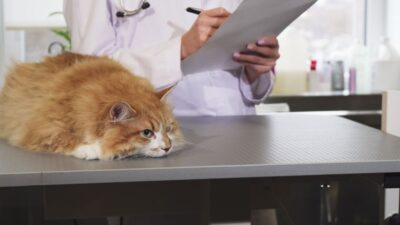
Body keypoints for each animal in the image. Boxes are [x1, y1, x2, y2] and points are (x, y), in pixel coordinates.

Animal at [0, 52, 184, 160]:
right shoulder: (42, 126)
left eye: (168, 129)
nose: (168, 147)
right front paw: (92, 149)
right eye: (147, 133)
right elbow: (64, 139)